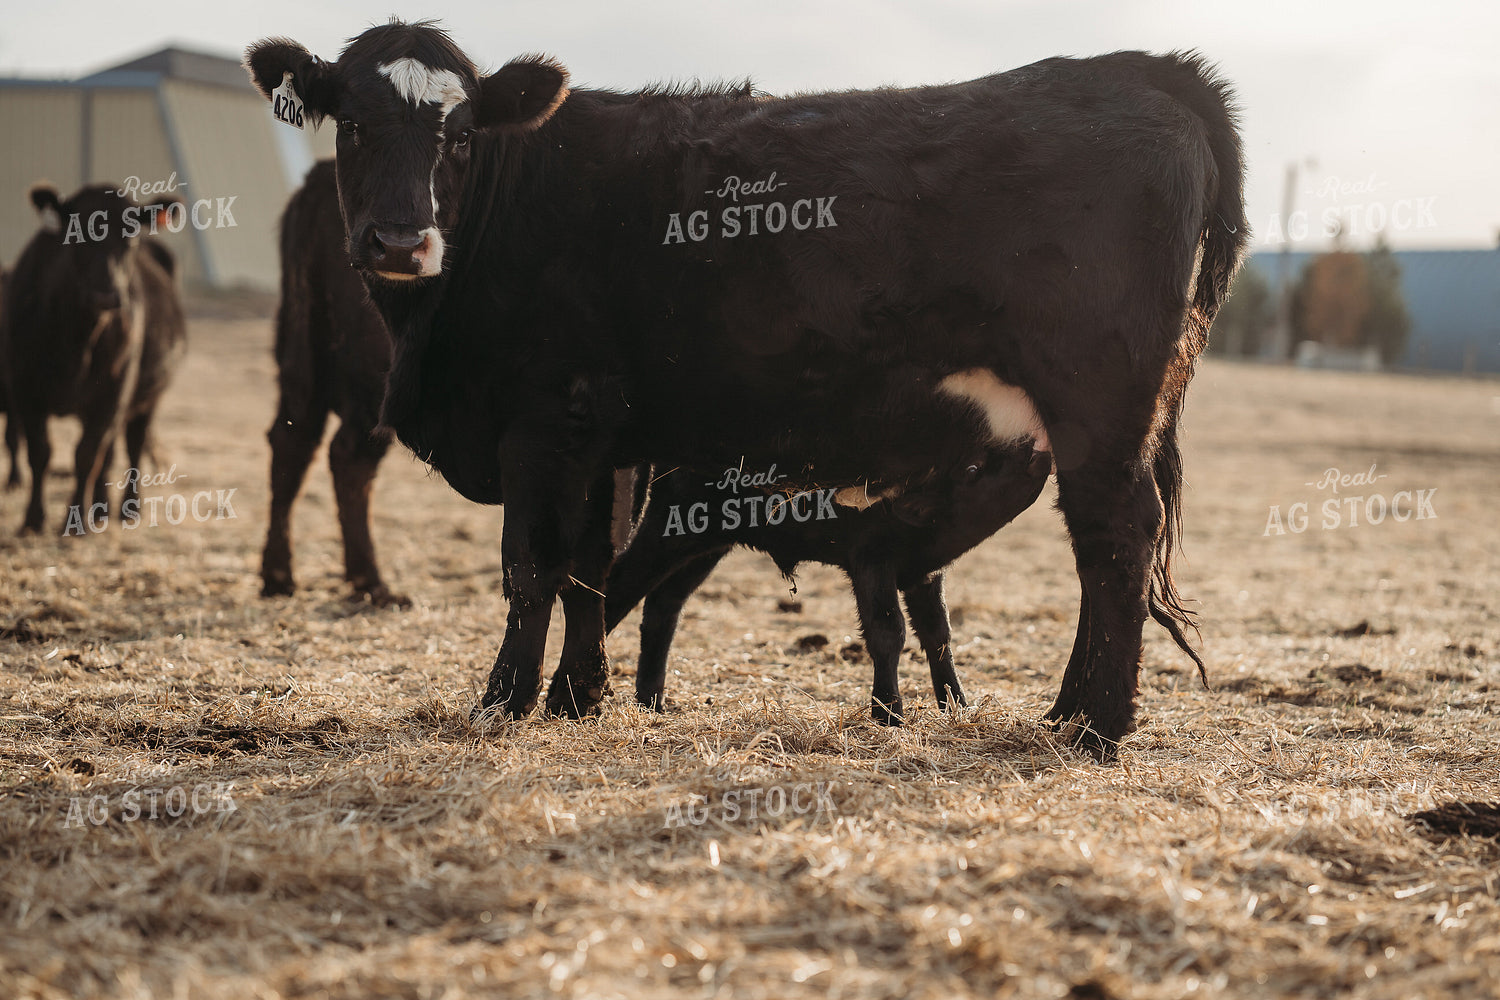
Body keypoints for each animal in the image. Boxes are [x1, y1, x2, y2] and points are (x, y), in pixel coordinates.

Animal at [2, 184, 187, 535]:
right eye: (77, 235)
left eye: (131, 237)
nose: (107, 295)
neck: (77, 340)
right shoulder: (25, 392)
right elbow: (40, 452)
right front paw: (33, 519)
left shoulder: (111, 395)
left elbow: (86, 455)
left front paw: (74, 524)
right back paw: (100, 509)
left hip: (146, 399)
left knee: (131, 446)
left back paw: (128, 508)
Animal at [261, 159, 409, 606]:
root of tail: (320, 175)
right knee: (349, 458)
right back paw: (374, 584)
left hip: (300, 358)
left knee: (292, 440)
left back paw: (279, 576)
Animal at [607, 441, 1051, 723]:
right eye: (974, 468)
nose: (1037, 451)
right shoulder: (870, 561)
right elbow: (888, 631)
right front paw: (890, 715)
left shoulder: (924, 575)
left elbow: (938, 633)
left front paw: (959, 706)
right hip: (667, 532)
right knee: (620, 584)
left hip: (707, 549)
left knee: (663, 604)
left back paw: (652, 702)